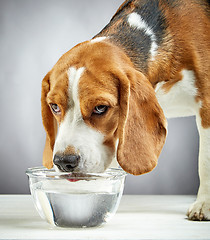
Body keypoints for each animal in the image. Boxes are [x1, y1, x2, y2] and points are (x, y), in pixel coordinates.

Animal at [41, 0, 210, 221]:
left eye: (100, 108)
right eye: (54, 107)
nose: (64, 162)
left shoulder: (207, 106)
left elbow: (205, 160)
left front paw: (204, 204)